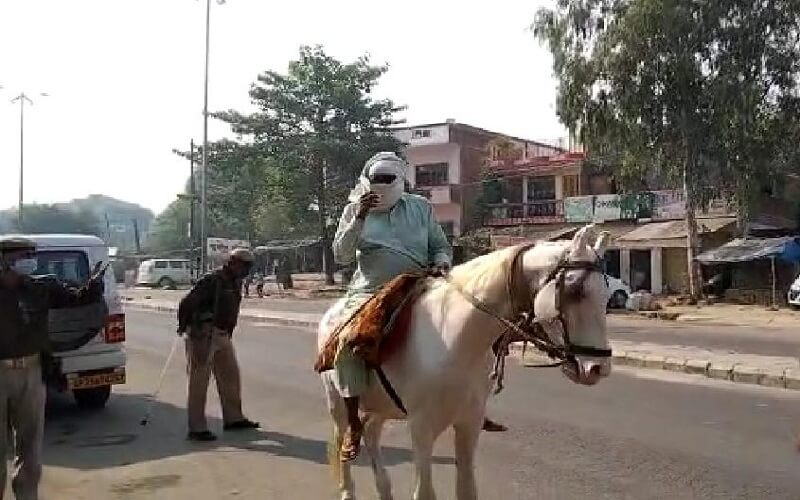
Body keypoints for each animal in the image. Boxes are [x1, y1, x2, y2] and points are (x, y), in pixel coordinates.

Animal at [318, 225, 612, 498]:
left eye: (607, 295)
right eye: (575, 290)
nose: (598, 368)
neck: (455, 340)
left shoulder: (469, 423)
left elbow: (467, 489)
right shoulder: (421, 428)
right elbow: (424, 492)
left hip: (381, 406)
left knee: (371, 433)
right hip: (338, 404)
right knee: (344, 438)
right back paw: (347, 486)